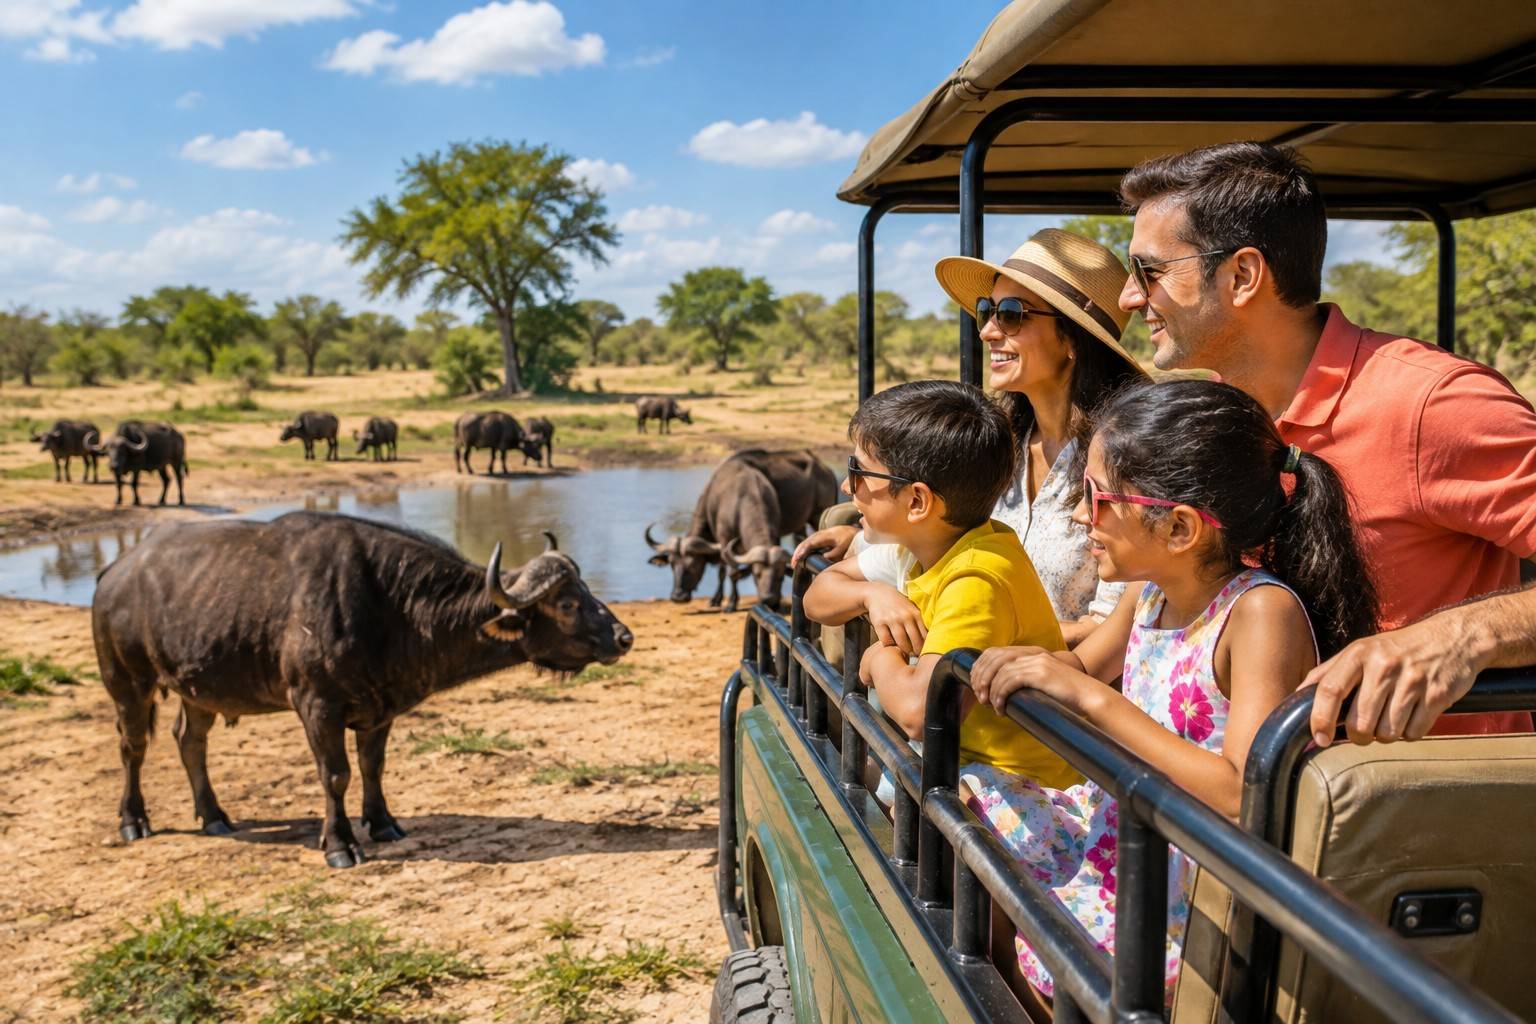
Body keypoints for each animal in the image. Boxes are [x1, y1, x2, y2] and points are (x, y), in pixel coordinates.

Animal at [92, 513, 633, 868]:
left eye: (587, 590)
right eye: (566, 603)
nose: (624, 637)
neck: (390, 604)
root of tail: (114, 574)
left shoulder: (381, 709)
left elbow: (373, 766)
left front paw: (384, 823)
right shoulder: (316, 706)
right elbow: (335, 775)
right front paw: (340, 844)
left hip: (197, 691)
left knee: (191, 742)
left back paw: (214, 816)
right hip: (128, 683)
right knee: (132, 747)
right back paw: (133, 821)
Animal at [646, 448, 838, 612]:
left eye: (694, 565)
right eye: (672, 564)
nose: (678, 596)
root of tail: (825, 469)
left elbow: (731, 572)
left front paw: (731, 604)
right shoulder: (725, 540)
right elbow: (724, 570)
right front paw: (717, 600)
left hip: (818, 515)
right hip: (801, 525)